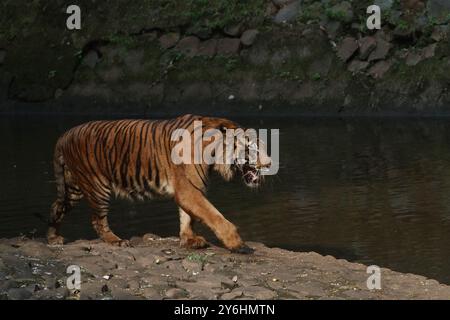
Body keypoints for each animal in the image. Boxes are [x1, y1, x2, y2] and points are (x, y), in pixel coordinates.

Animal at [46, 114, 270, 254]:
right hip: (97, 186)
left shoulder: (191, 187)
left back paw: (53, 238)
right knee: (97, 220)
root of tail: (65, 135)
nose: (269, 163)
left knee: (56, 206)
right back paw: (116, 240)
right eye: (252, 148)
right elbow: (214, 216)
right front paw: (237, 244)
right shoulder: (188, 189)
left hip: (73, 188)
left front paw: (189, 239)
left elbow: (188, 217)